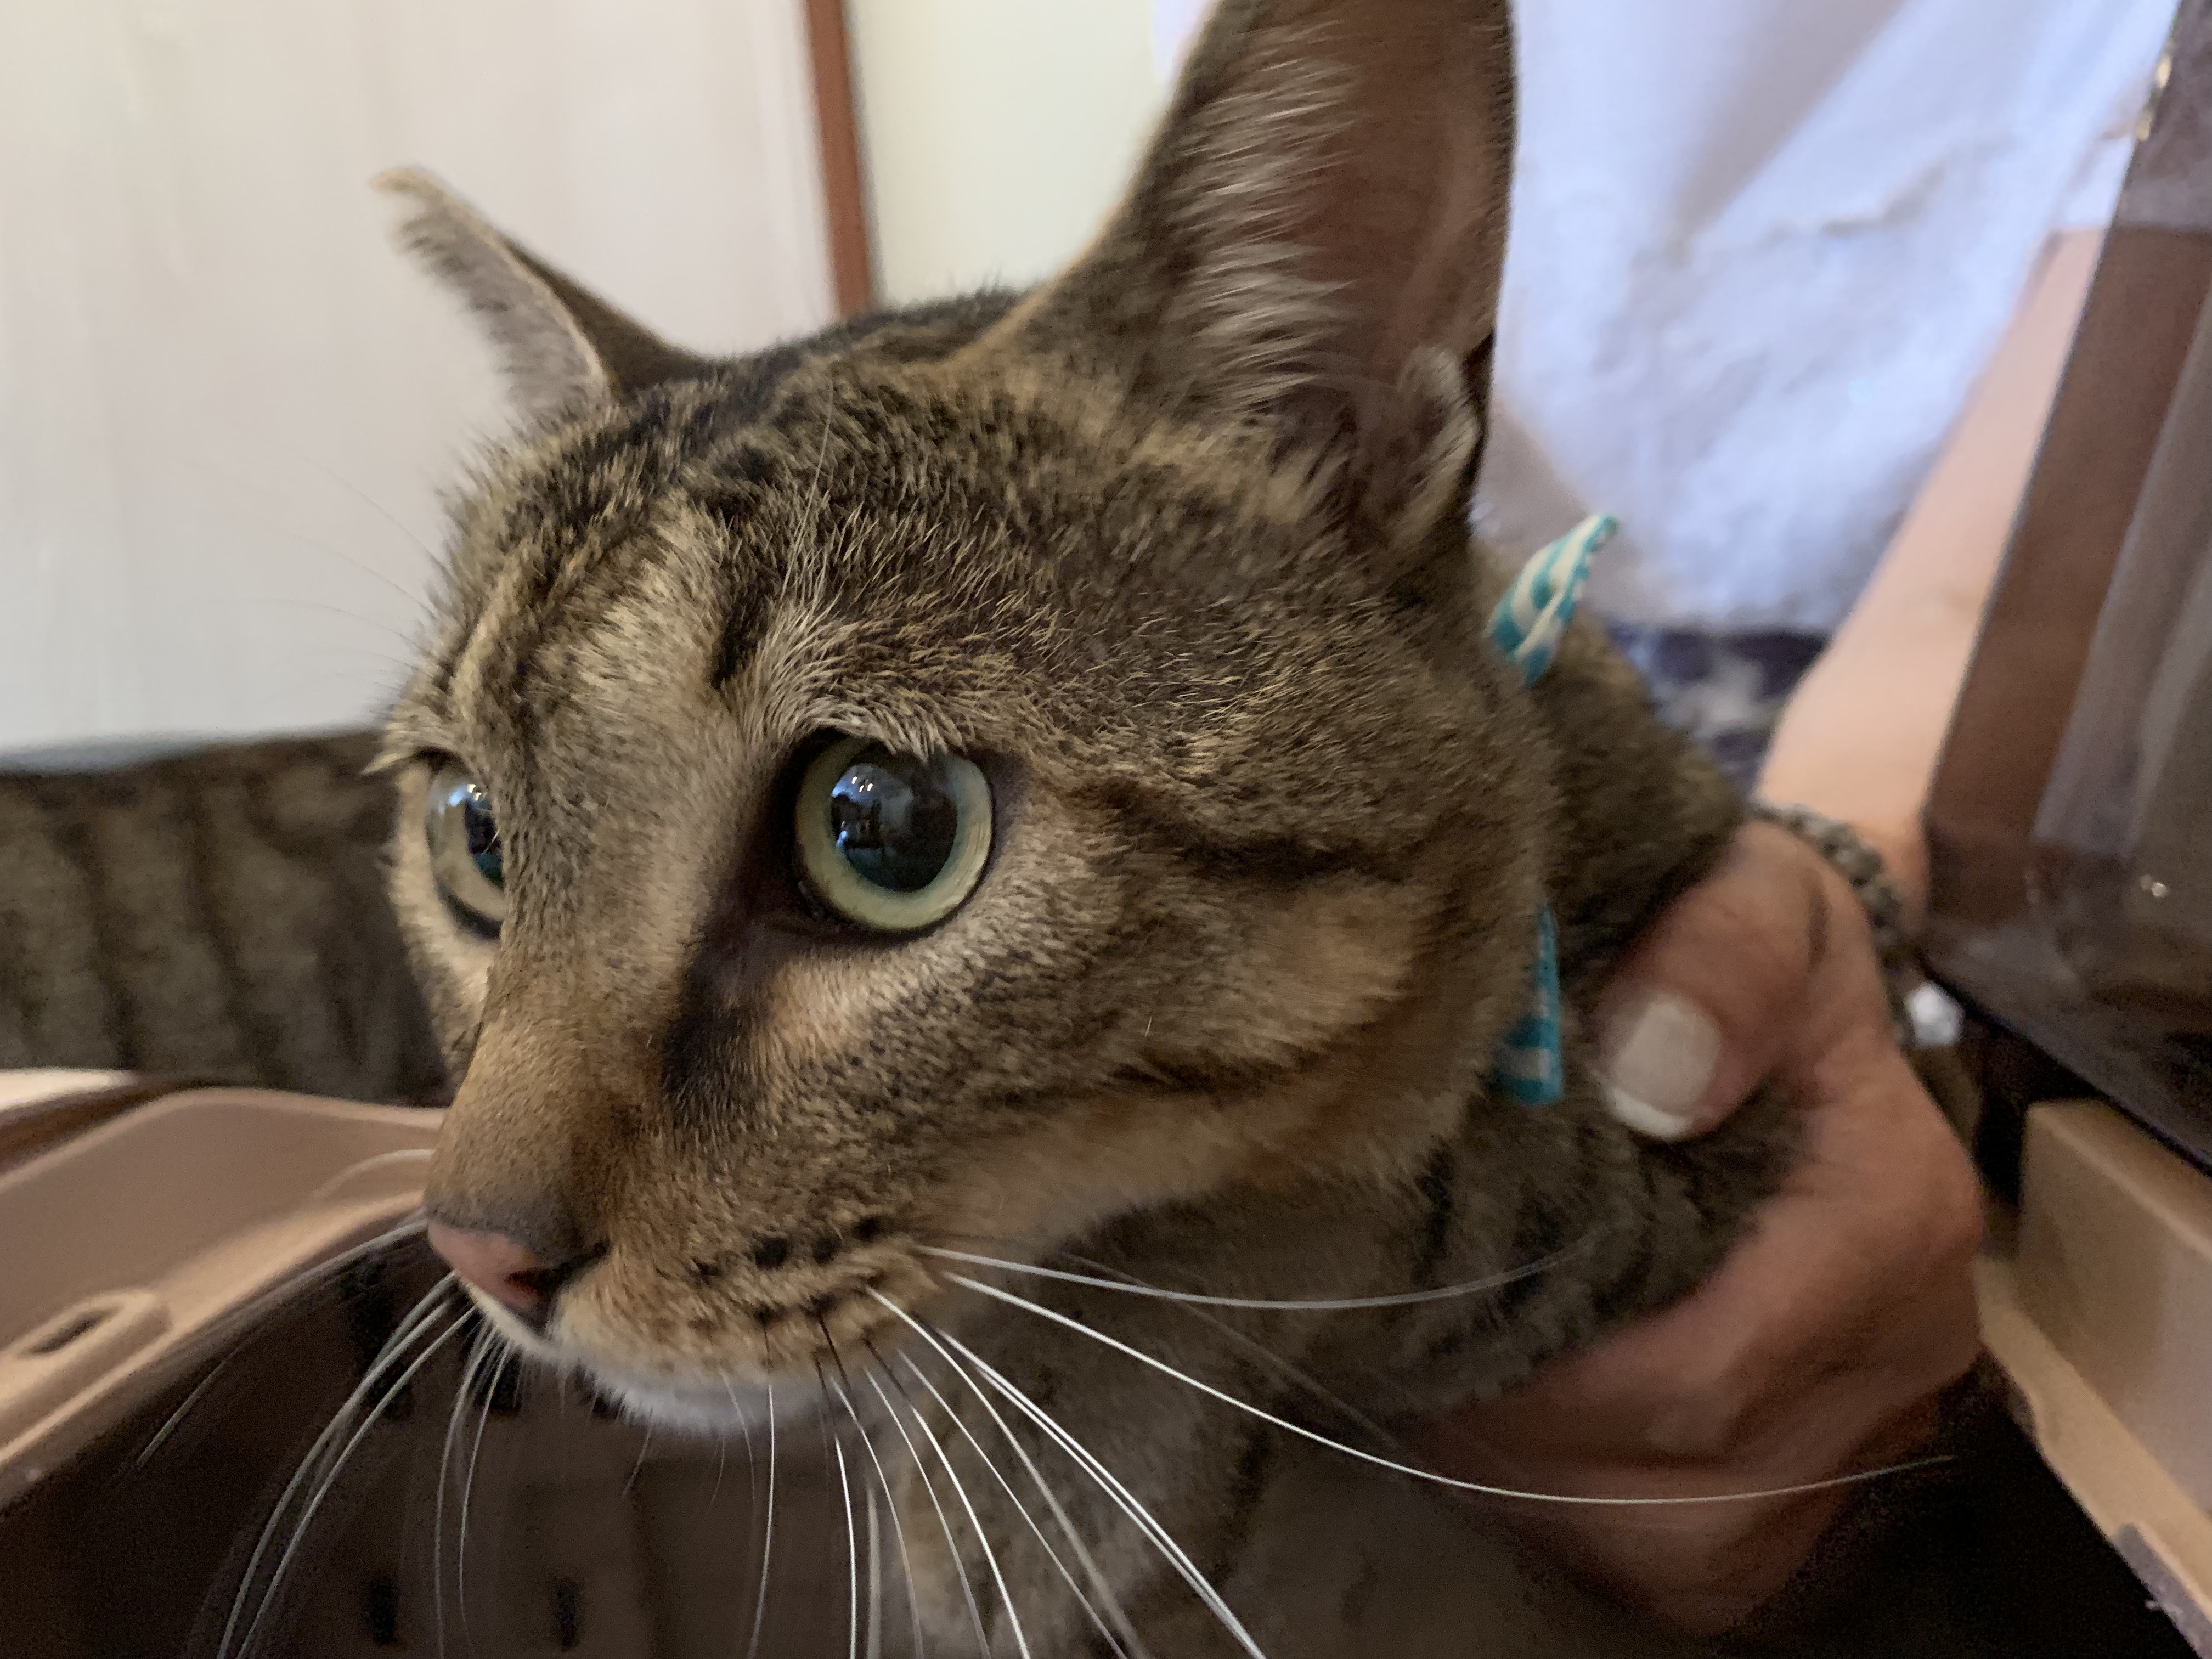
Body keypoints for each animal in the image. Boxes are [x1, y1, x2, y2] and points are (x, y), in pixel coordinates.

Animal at [275, 0, 1809, 1652]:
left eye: (884, 829)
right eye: (476, 835)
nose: (477, 1253)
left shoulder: (1711, 1138)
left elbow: (1413, 1205)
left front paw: (1036, 1460)